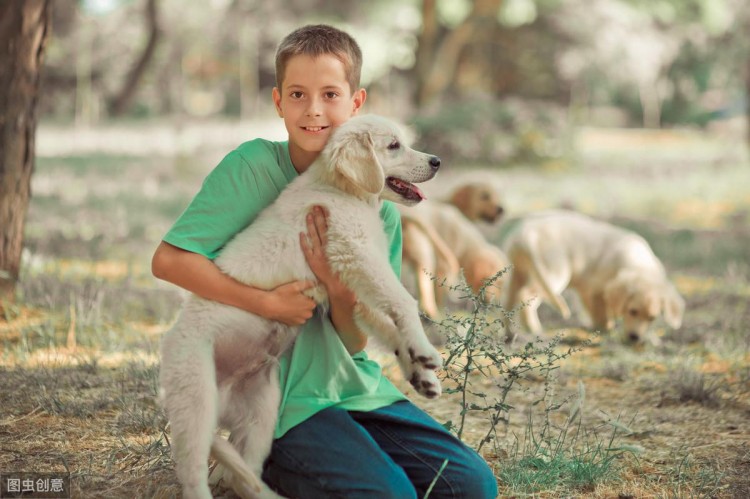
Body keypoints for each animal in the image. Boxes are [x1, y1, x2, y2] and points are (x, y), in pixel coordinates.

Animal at [506, 208, 688, 344]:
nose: (634, 338)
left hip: (516, 274)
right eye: (632, 311)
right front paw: (605, 331)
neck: (639, 264)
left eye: (652, 318)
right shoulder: (592, 289)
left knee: (510, 301)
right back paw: (534, 329)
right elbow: (601, 314)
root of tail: (526, 232)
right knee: (526, 295)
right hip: (554, 273)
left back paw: (510, 332)